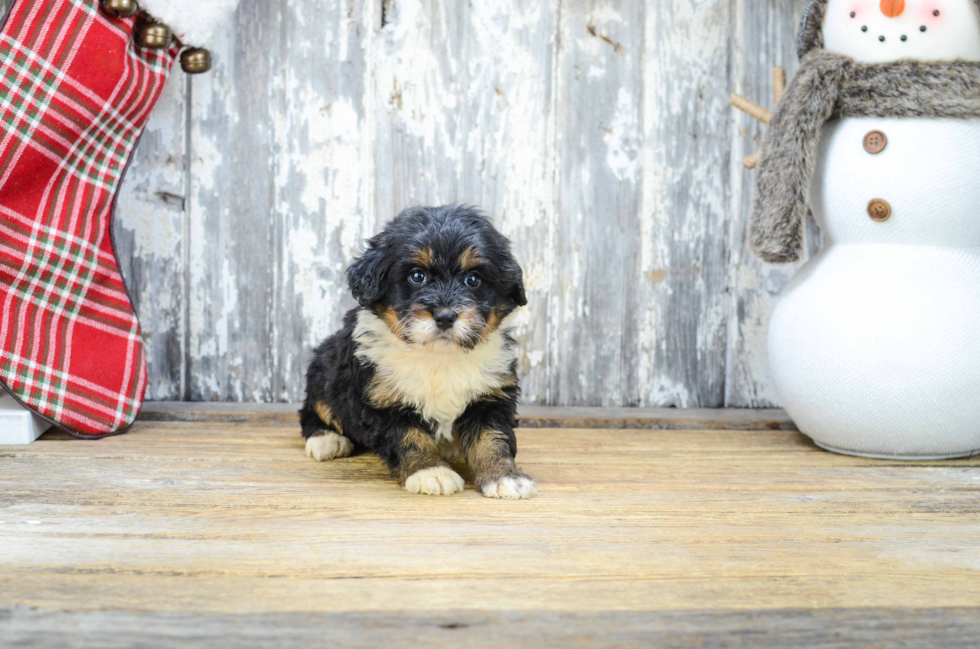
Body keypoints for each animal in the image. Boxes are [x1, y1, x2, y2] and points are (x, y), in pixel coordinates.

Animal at [302, 205, 540, 498]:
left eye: (473, 279)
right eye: (417, 276)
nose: (445, 316)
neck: (438, 357)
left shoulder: (491, 395)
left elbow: (492, 438)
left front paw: (504, 476)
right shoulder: (382, 399)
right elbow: (410, 437)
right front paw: (430, 472)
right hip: (323, 370)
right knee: (314, 410)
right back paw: (327, 440)